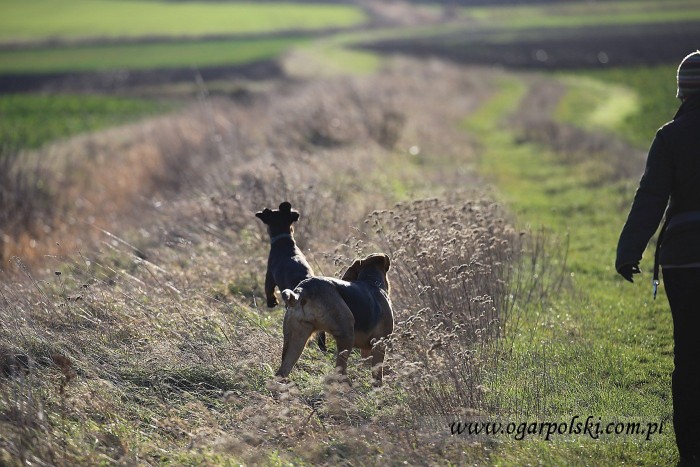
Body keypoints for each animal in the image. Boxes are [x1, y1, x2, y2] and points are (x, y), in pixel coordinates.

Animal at [274, 254, 394, 386]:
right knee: (340, 370)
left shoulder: (367, 349)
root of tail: (303, 288)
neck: (372, 281)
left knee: (282, 372)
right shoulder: (380, 343)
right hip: (346, 334)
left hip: (295, 340)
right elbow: (377, 372)